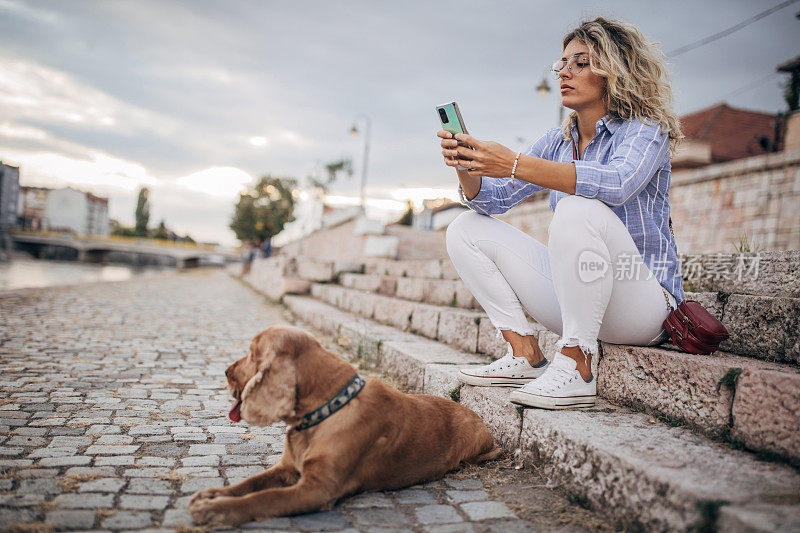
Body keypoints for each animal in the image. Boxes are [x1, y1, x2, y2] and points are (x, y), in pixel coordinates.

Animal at [188, 324, 500, 524]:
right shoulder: (287, 469)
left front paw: (215, 510)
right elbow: (250, 483)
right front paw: (214, 494)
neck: (325, 410)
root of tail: (477, 415)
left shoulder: (317, 488)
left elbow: (264, 498)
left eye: (253, 355)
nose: (225, 371)